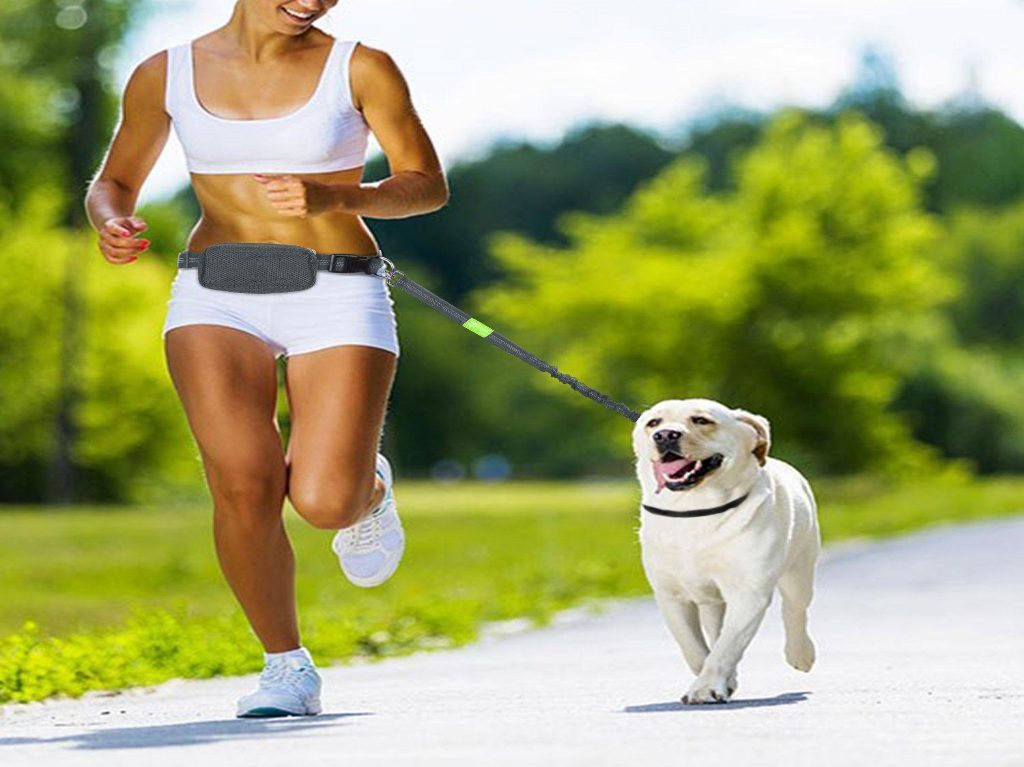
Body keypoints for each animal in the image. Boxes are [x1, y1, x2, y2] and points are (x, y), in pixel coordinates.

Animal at [630, 397, 823, 704]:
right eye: (654, 423)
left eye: (701, 420)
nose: (665, 435)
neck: (694, 509)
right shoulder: (671, 595)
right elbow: (694, 646)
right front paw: (716, 680)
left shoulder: (749, 593)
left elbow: (726, 646)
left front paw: (706, 687)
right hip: (713, 601)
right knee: (715, 627)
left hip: (799, 570)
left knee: (794, 611)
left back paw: (801, 654)